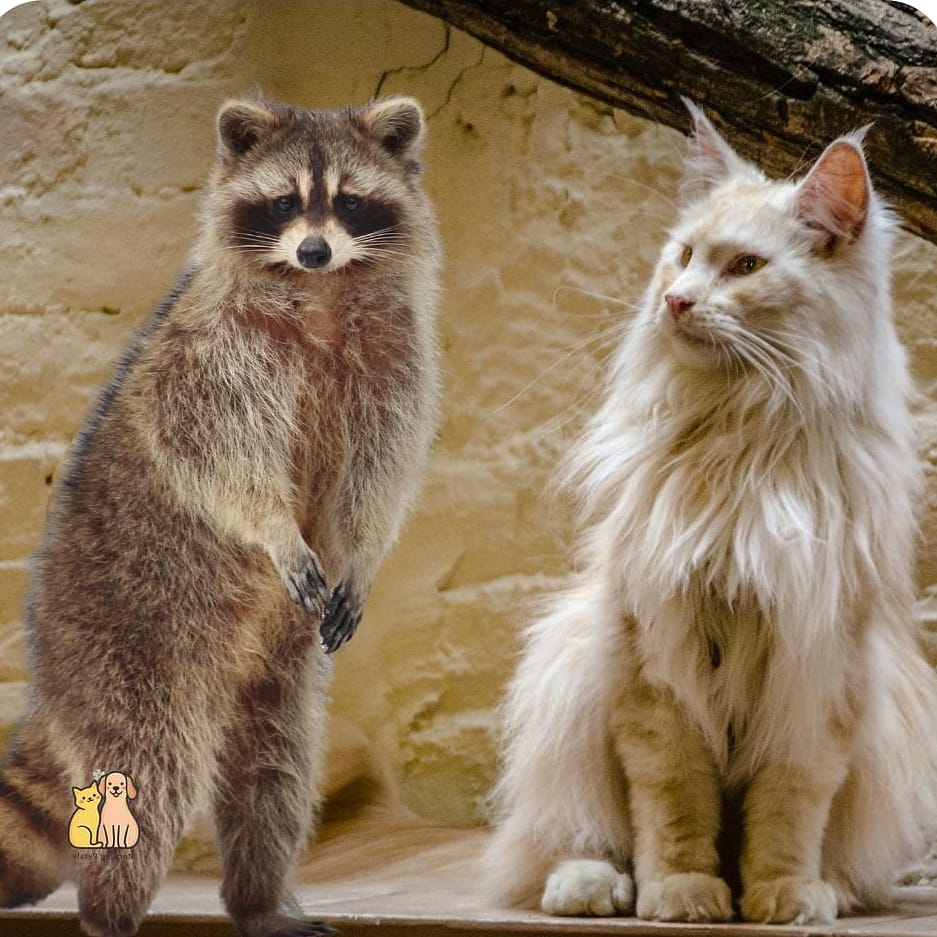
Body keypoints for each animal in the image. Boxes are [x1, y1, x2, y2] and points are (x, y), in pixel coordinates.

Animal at [0, 95, 440, 937]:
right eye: (283, 203)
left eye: (348, 202)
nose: (312, 249)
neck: (321, 292)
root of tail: (51, 677)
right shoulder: (212, 354)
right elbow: (217, 456)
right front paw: (274, 529)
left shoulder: (396, 360)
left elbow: (381, 471)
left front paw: (362, 552)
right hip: (126, 642)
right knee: (148, 768)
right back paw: (110, 912)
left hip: (275, 670)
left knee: (277, 767)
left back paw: (260, 898)